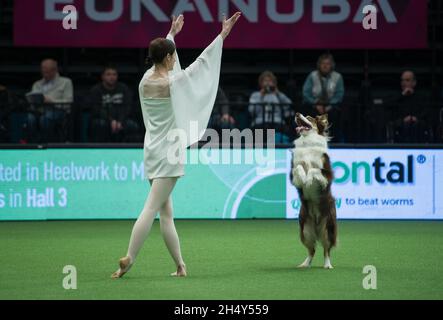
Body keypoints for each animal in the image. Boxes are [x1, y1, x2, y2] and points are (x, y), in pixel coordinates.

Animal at [290, 114, 338, 268]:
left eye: (309, 118)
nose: (297, 114)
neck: (307, 143)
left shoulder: (327, 173)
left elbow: (313, 170)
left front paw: (309, 180)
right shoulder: (293, 170)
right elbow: (299, 168)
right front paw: (304, 180)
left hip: (328, 228)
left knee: (326, 250)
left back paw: (327, 265)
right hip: (305, 231)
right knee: (312, 250)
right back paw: (304, 264)